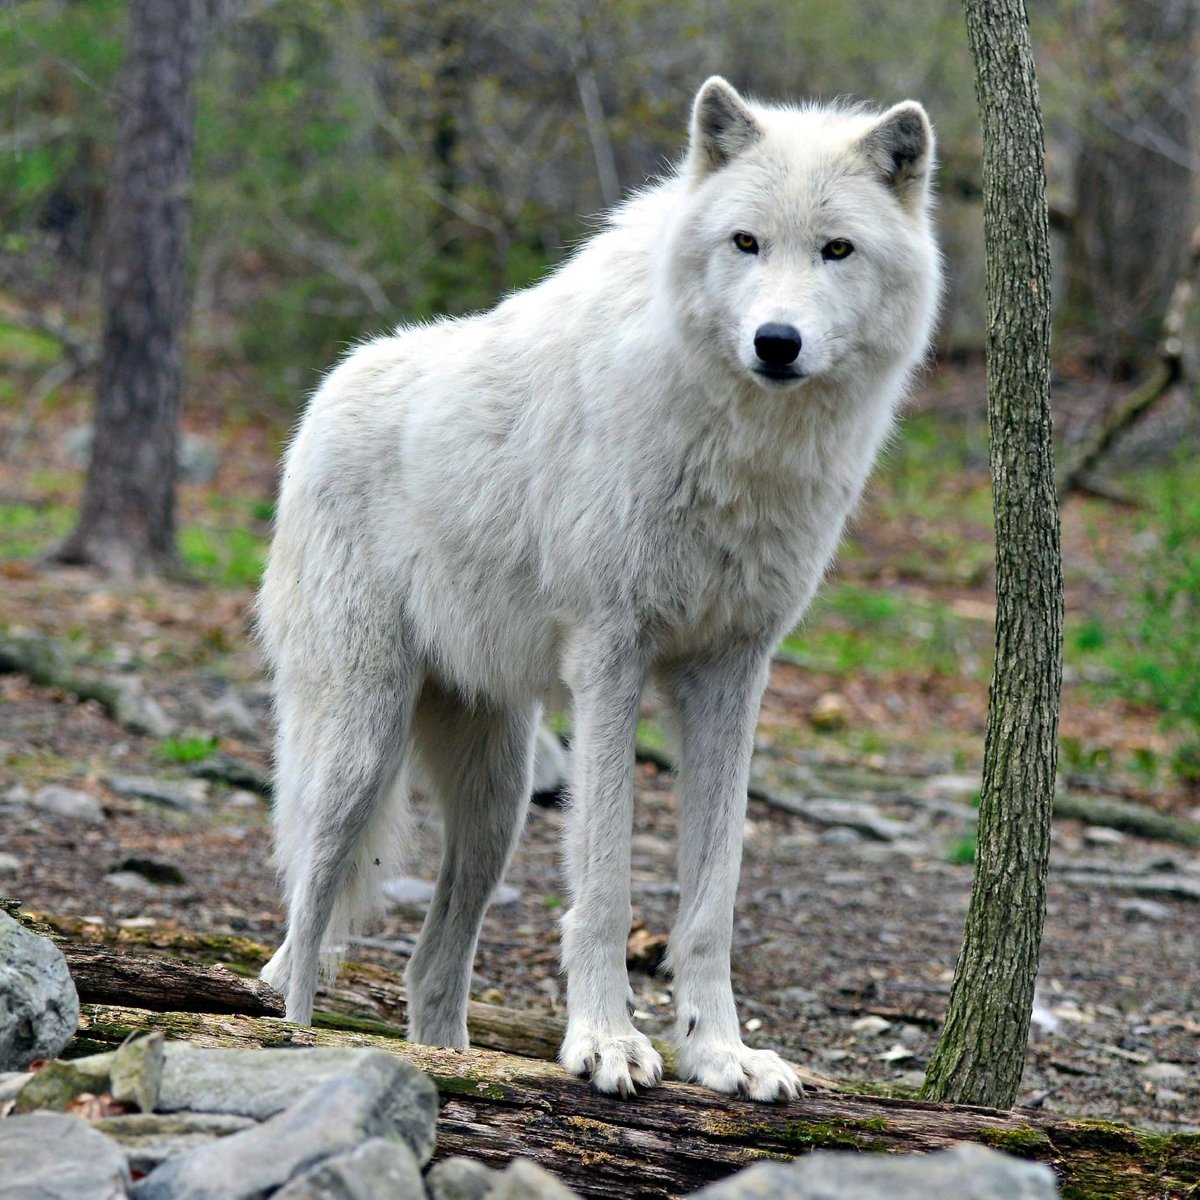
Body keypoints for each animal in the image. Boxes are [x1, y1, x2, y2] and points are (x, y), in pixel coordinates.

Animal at [260, 79, 936, 1099]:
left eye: (836, 249)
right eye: (746, 242)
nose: (777, 341)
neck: (741, 449)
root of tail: (324, 393)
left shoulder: (734, 672)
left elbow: (713, 899)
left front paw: (720, 1053)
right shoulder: (612, 657)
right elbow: (608, 886)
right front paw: (607, 1043)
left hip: (498, 801)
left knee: (428, 966)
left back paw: (448, 1061)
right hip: (359, 750)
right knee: (304, 922)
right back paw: (293, 1049)